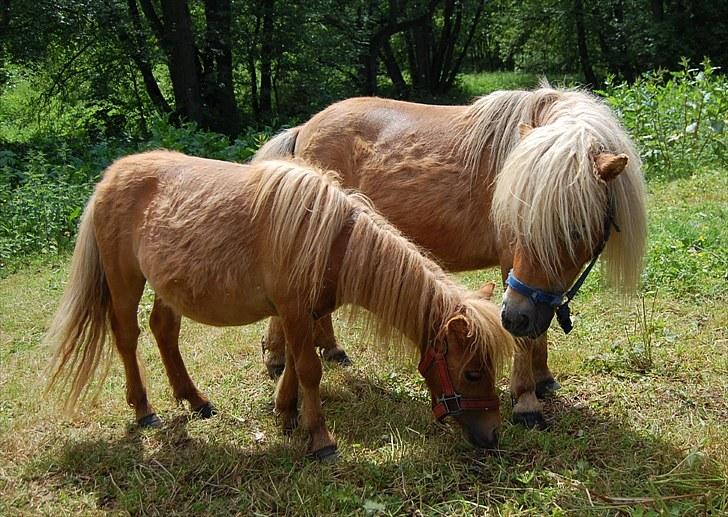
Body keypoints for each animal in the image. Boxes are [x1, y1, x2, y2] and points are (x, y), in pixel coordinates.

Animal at [45, 151, 516, 458]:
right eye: (473, 373)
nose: (494, 435)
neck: (333, 242)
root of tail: (111, 176)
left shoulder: (301, 313)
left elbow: (292, 362)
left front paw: (287, 413)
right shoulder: (292, 310)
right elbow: (309, 369)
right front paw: (321, 439)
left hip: (168, 286)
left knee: (164, 330)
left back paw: (196, 400)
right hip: (125, 282)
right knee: (127, 336)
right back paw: (145, 410)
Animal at [253, 83, 644, 428]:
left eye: (574, 230)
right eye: (517, 220)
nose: (513, 316)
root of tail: (305, 129)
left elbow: (538, 328)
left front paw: (543, 377)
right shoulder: (512, 267)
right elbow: (524, 339)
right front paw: (526, 401)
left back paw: (328, 350)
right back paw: (278, 355)